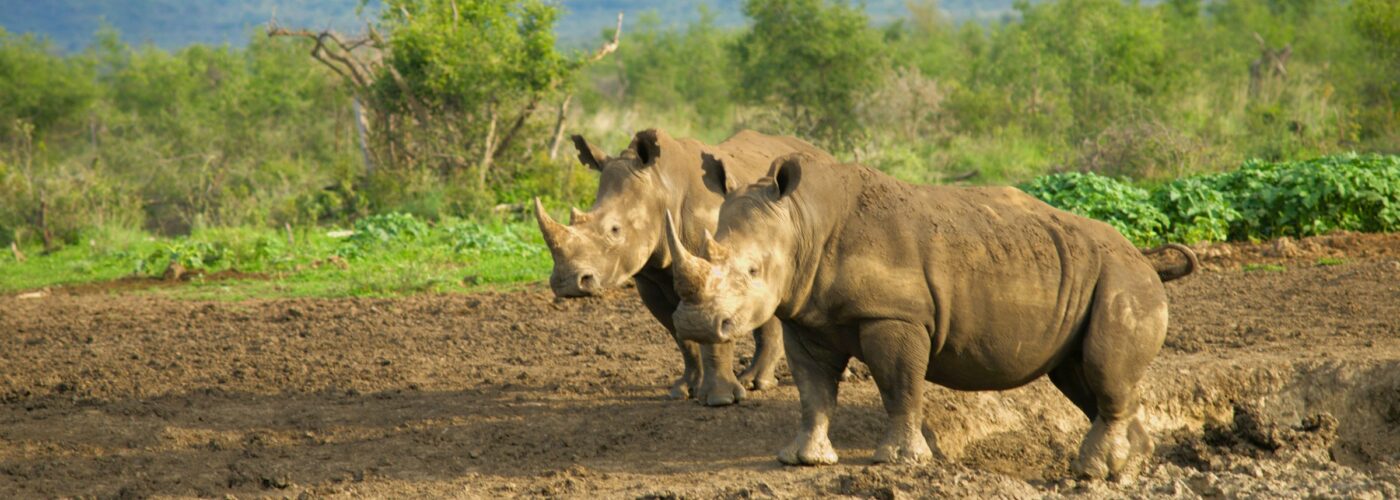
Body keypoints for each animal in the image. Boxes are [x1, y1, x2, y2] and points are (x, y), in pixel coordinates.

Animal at [672, 152, 1198, 478]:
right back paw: (1125, 468)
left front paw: (899, 461)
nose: (697, 324)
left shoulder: (896, 316)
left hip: (1122, 280)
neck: (804, 222)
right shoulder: (806, 317)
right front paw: (803, 460)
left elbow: (899, 385)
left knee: (1102, 370)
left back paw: (1091, 471)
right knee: (1079, 376)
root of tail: (1144, 258)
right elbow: (813, 391)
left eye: (753, 270)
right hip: (1093, 277)